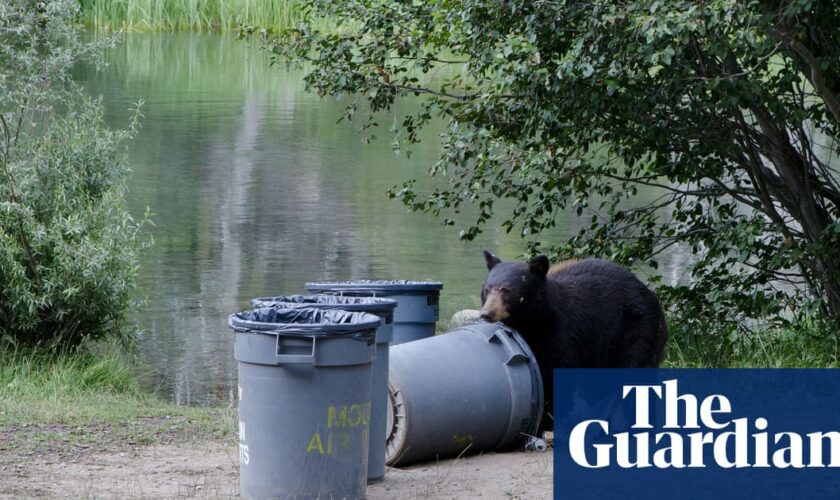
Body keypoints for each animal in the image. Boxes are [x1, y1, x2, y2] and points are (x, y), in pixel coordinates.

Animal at [482, 252, 668, 432]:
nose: (486, 313)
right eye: (487, 289)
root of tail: (649, 294)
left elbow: (555, 375)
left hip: (637, 328)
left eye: (506, 289)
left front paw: (546, 423)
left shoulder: (561, 335)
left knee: (635, 370)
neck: (535, 322)